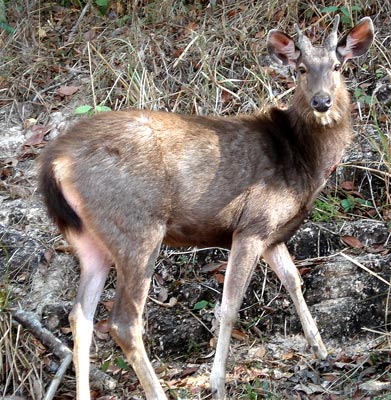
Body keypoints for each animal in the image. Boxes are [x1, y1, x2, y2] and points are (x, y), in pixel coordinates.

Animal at [39, 14, 374, 400]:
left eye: (337, 66)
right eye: (301, 69)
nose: (322, 101)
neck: (303, 162)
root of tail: (55, 163)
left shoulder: (272, 232)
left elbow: (293, 279)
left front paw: (320, 349)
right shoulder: (252, 223)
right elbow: (229, 306)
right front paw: (217, 382)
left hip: (87, 239)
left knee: (80, 316)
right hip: (136, 228)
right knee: (123, 321)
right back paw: (158, 391)